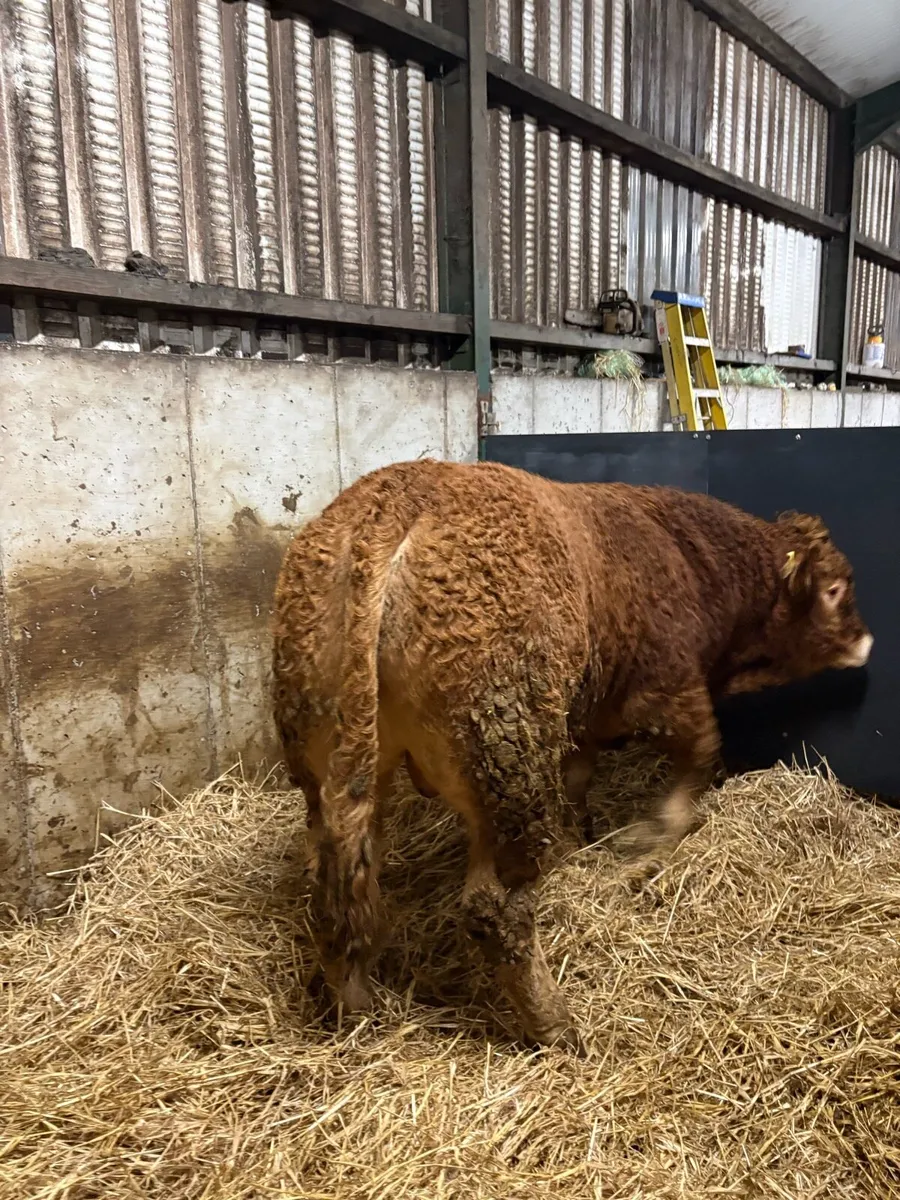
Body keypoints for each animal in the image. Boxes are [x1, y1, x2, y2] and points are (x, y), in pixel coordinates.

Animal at [272, 459, 872, 1051]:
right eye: (835, 589)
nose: (866, 642)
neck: (691, 561)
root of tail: (398, 499)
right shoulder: (669, 693)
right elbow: (702, 761)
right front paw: (649, 842)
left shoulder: (590, 717)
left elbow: (581, 779)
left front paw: (581, 839)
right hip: (507, 767)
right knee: (496, 909)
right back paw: (557, 1026)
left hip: (333, 761)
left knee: (337, 880)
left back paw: (353, 1005)